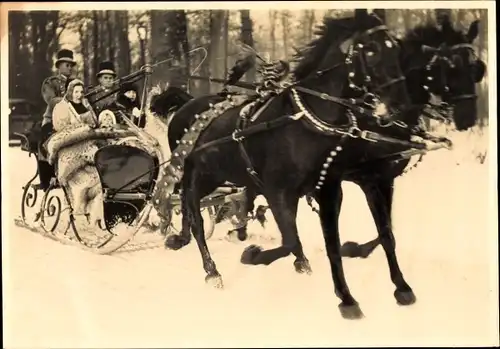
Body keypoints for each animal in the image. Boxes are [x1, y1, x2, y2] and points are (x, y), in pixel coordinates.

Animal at [158, 9, 412, 318]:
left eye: (395, 47)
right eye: (371, 50)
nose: (401, 105)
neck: (305, 122)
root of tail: (187, 108)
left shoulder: (332, 187)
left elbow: (365, 236)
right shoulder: (278, 190)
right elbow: (292, 239)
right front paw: (254, 255)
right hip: (199, 176)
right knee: (194, 217)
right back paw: (211, 269)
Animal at [338, 18, 486, 258]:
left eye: (477, 69)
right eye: (452, 68)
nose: (468, 118)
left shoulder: (386, 179)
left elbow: (388, 229)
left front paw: (356, 248)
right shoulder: (367, 179)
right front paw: (352, 248)